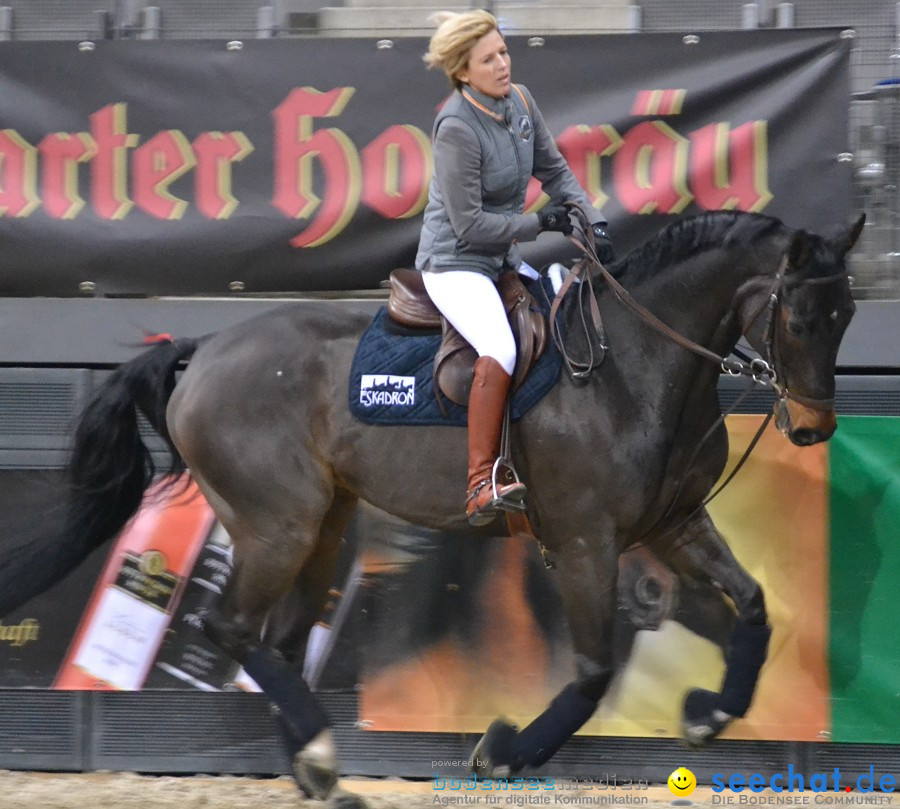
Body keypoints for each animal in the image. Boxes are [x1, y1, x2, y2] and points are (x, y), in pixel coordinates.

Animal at [0, 208, 860, 796]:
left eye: (847, 315)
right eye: (799, 315)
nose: (813, 428)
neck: (633, 367)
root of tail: (203, 351)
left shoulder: (674, 523)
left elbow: (751, 607)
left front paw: (710, 711)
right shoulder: (585, 541)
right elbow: (590, 670)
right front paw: (505, 749)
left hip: (322, 528)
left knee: (277, 644)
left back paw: (313, 765)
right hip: (278, 526)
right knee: (232, 627)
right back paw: (318, 752)